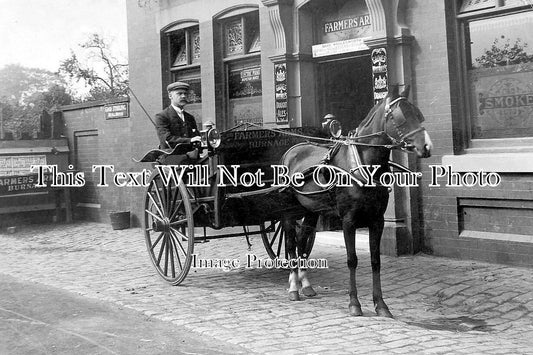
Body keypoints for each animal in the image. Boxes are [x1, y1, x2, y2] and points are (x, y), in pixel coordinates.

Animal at [280, 85, 430, 318]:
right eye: (400, 117)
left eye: (418, 114)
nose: (426, 146)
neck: (362, 164)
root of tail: (292, 150)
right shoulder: (348, 221)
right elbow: (352, 260)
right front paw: (354, 303)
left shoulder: (377, 220)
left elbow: (375, 260)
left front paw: (381, 305)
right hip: (289, 212)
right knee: (290, 245)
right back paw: (293, 287)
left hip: (311, 210)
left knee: (303, 240)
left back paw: (306, 285)